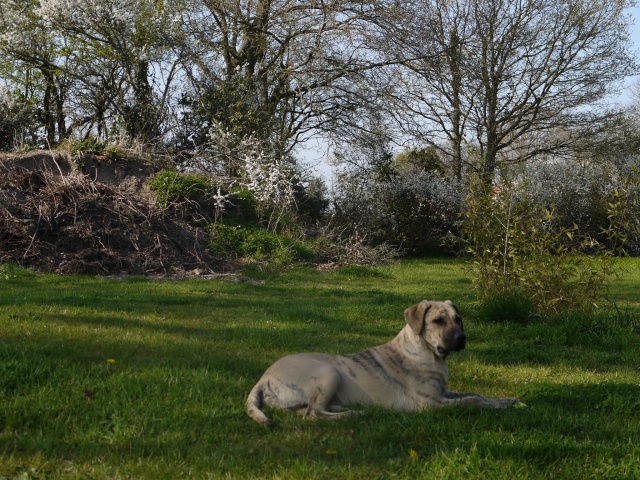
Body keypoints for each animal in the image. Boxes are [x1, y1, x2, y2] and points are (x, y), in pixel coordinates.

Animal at [244, 300, 516, 424]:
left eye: (458, 319)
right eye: (438, 321)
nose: (462, 338)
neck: (426, 352)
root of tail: (263, 378)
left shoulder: (443, 392)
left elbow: (475, 394)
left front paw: (507, 401)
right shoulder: (431, 403)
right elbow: (472, 400)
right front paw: (499, 406)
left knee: (308, 411)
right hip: (329, 372)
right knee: (313, 414)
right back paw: (354, 414)